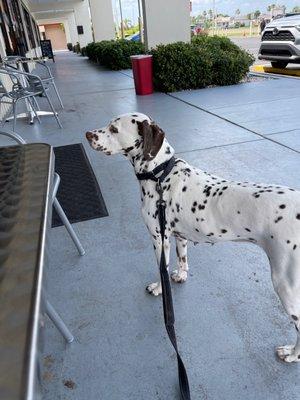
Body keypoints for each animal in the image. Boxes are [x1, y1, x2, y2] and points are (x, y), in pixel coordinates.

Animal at [85, 111, 300, 362]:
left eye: (114, 129)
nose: (87, 134)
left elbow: (162, 270)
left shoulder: (159, 239)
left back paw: (291, 354)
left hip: (285, 284)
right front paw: (181, 275)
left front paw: (159, 288)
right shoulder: (179, 237)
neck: (161, 174)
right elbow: (182, 260)